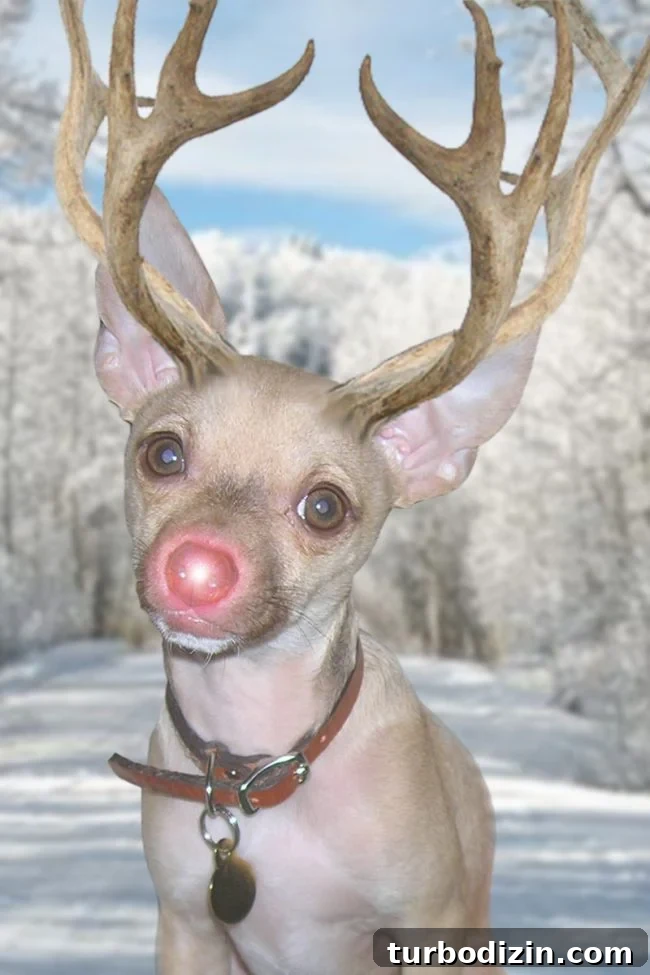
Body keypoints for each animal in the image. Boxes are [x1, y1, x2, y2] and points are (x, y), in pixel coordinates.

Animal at [54, 0, 649, 972]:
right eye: (163, 453)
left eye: (326, 505)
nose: (196, 567)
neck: (259, 776)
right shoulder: (184, 918)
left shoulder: (428, 913)